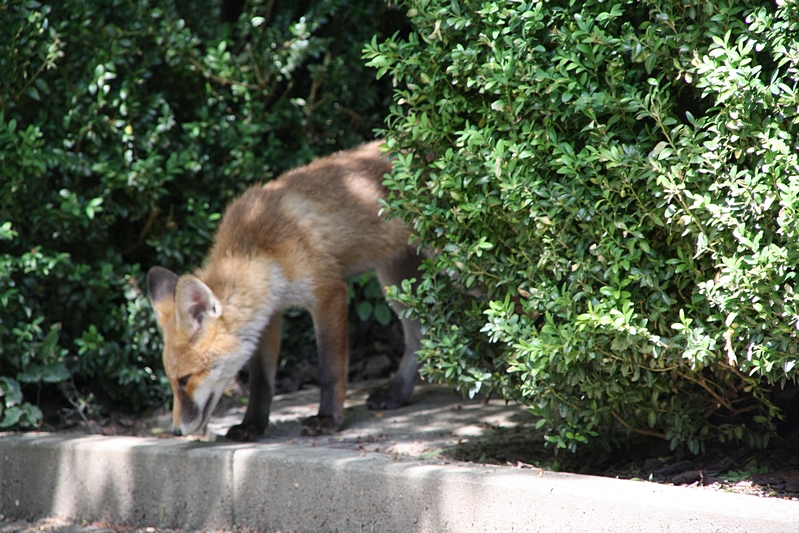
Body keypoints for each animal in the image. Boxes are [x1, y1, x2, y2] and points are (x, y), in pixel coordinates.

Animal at [146, 141, 424, 441]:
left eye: (185, 379)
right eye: (172, 380)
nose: (175, 431)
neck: (260, 249)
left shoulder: (329, 292)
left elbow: (329, 370)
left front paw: (328, 419)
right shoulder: (268, 314)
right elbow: (261, 382)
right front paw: (252, 424)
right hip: (396, 282)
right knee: (419, 338)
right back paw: (397, 393)